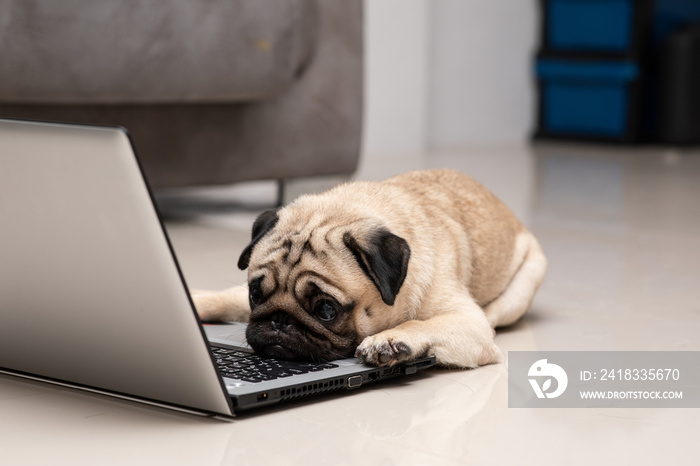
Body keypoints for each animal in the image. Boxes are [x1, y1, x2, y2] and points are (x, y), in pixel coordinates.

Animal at [191, 169, 548, 370]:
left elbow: (420, 323)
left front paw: (389, 341)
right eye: (255, 294)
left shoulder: (468, 323)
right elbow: (225, 297)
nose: (280, 321)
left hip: (522, 285)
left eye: (326, 310)